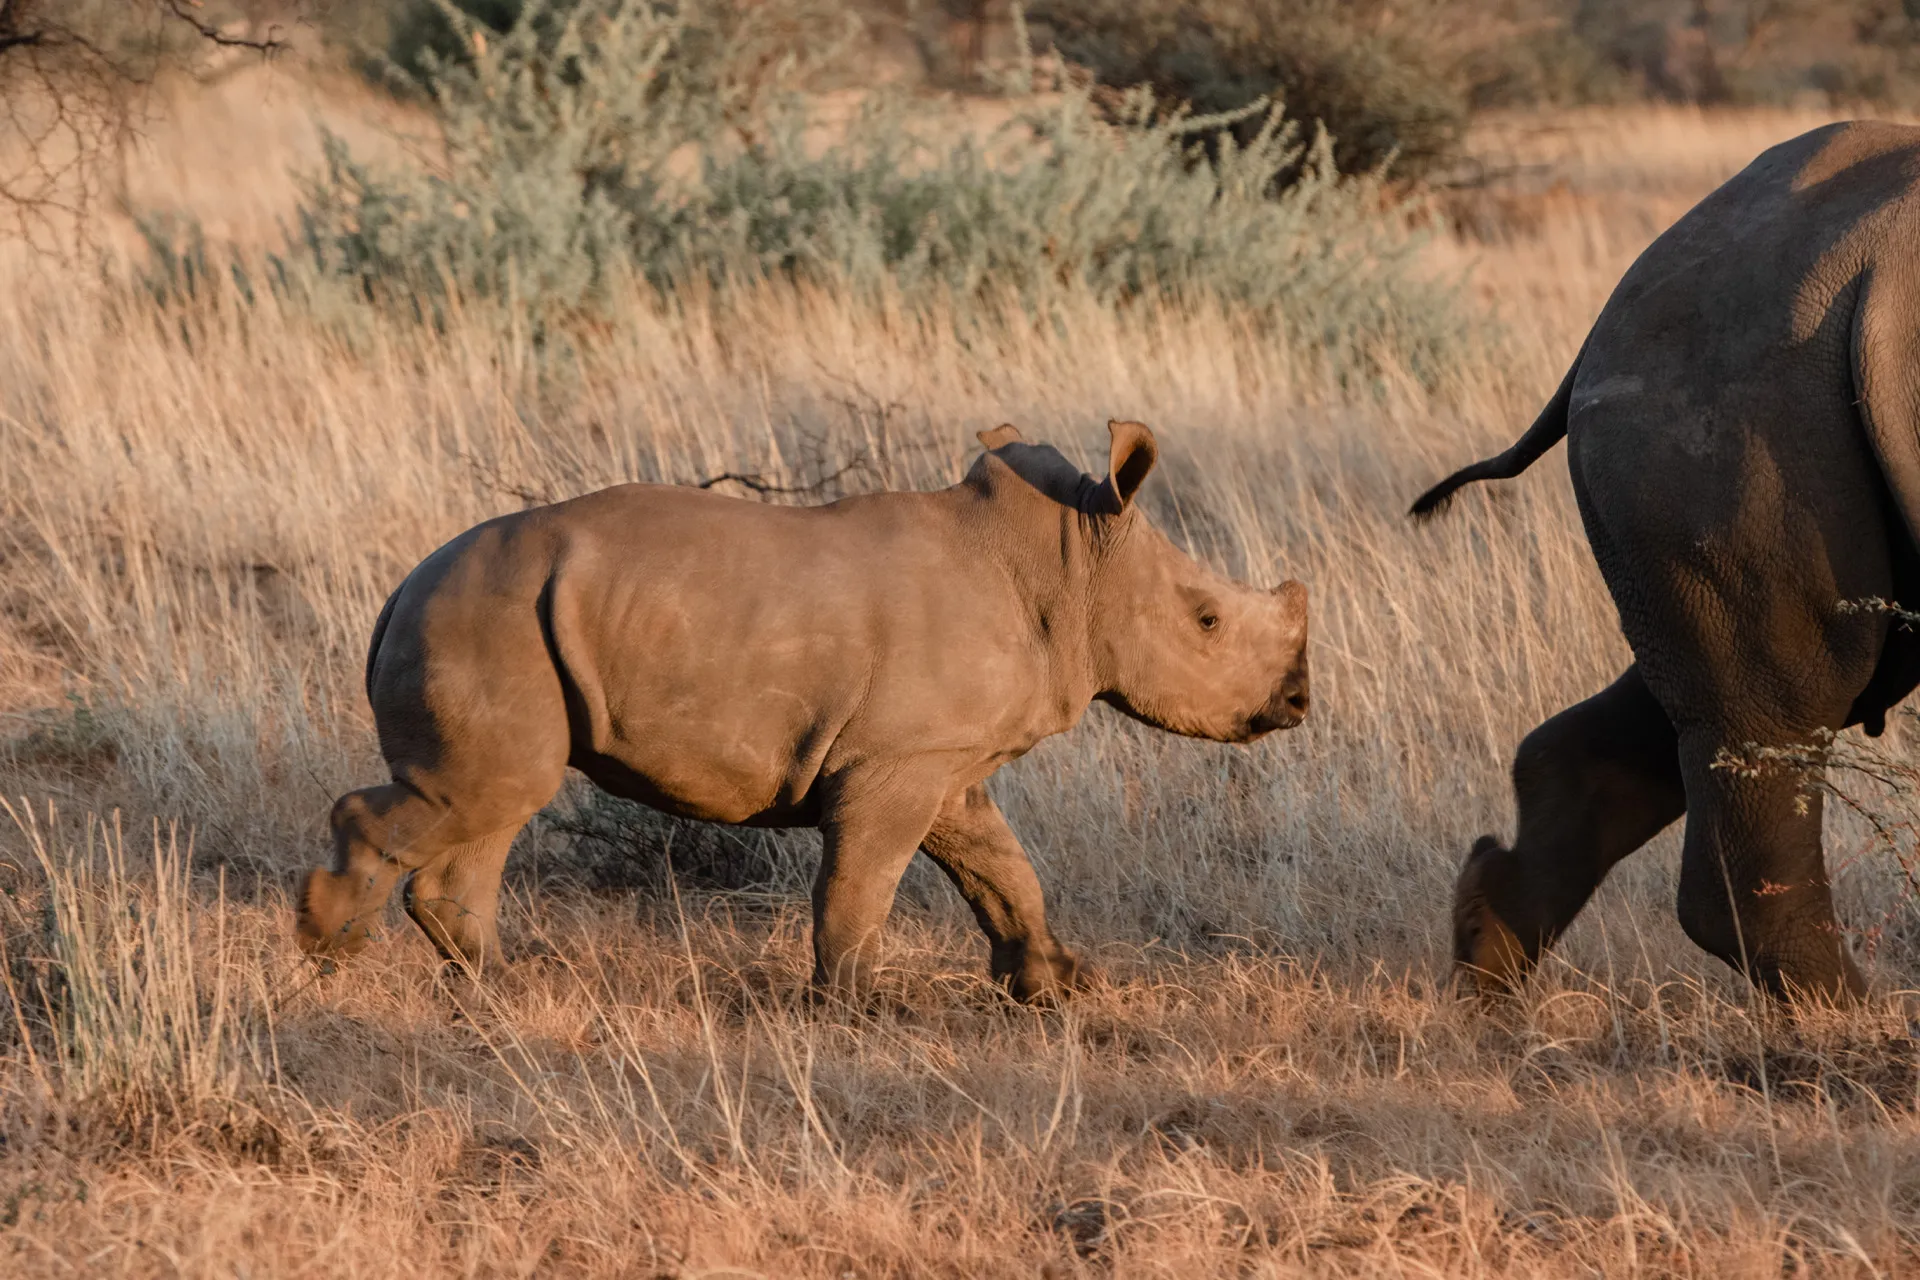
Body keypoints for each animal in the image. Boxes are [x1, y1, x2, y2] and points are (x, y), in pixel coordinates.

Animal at [299, 420, 1311, 1000]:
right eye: (1208, 620)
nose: (1297, 703)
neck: (1068, 564)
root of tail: (400, 589)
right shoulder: (896, 762)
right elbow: (862, 882)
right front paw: (855, 1007)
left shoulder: (942, 758)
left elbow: (1001, 869)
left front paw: (1060, 986)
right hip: (486, 618)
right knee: (487, 792)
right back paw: (327, 950)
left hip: (501, 616)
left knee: (495, 800)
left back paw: (498, 991)